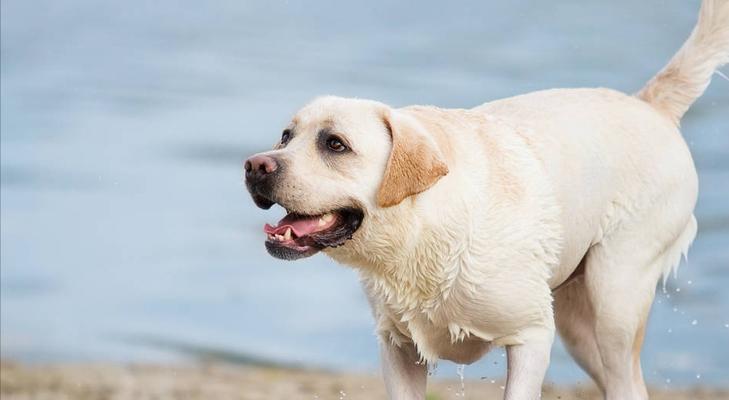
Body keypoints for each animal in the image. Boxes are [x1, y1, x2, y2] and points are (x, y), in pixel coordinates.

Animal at [243, 1, 724, 398]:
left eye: (335, 144)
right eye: (286, 136)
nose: (255, 165)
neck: (421, 230)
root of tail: (650, 105)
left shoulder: (532, 335)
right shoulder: (397, 347)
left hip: (615, 299)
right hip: (578, 324)